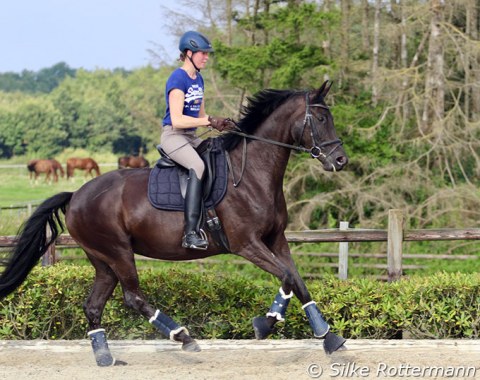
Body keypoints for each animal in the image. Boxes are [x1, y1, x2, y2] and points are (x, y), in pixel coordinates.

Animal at [1, 81, 350, 366]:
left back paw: (105, 358)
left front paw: (329, 337)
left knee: (94, 305)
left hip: (102, 260)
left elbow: (298, 281)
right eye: (321, 119)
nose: (340, 160)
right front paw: (265, 323)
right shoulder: (247, 244)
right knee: (133, 297)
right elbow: (288, 278)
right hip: (117, 251)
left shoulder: (276, 239)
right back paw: (183, 337)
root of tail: (75, 195)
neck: (252, 172)